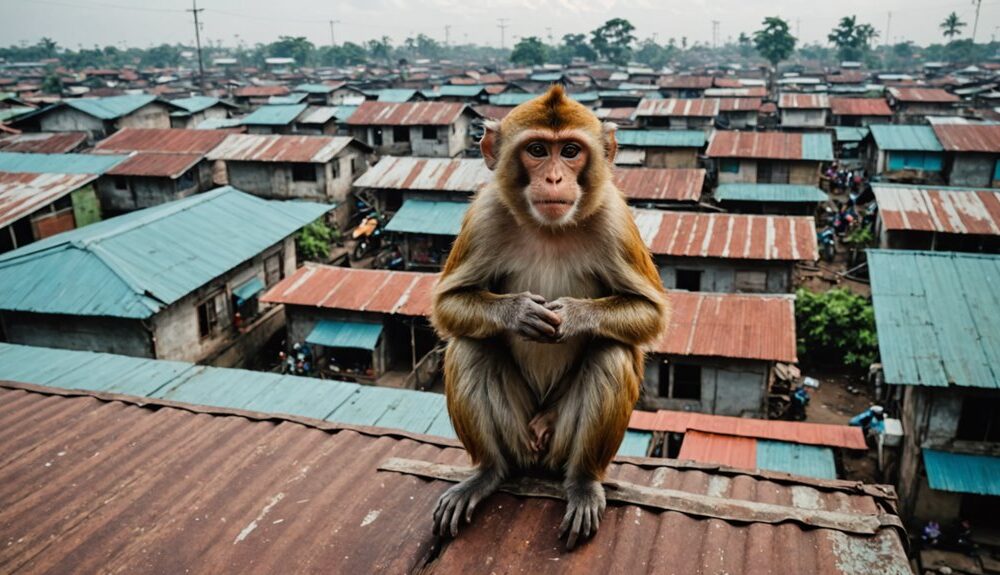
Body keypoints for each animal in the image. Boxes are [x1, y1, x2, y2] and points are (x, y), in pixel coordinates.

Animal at [432, 84, 672, 548]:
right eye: (538, 150)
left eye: (571, 151)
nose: (556, 179)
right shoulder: (485, 215)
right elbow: (447, 304)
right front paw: (519, 311)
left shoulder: (615, 220)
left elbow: (651, 313)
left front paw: (574, 316)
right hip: (518, 437)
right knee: (468, 347)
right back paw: (487, 472)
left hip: (558, 439)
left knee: (612, 354)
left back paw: (582, 481)